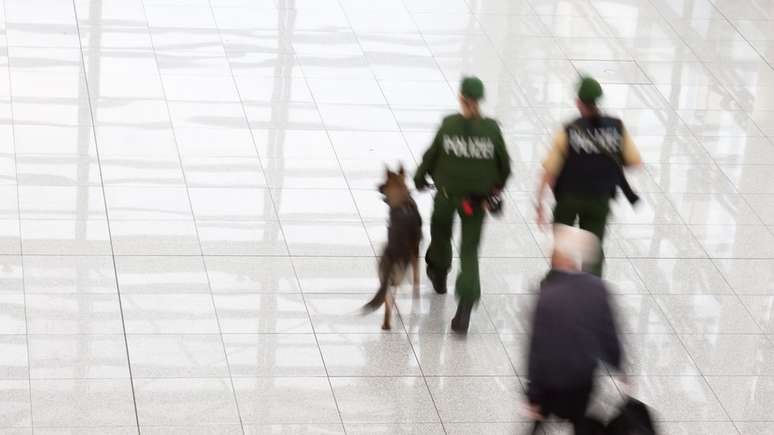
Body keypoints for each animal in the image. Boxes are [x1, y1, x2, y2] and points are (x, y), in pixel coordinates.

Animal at [364, 165, 424, 328]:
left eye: (384, 184)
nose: (377, 186)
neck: (403, 200)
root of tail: (391, 256)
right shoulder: (415, 251)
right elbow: (416, 277)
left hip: (383, 276)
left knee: (387, 299)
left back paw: (386, 324)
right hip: (397, 274)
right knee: (393, 294)